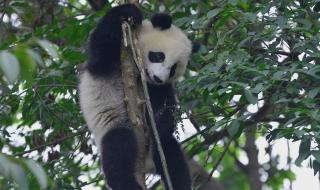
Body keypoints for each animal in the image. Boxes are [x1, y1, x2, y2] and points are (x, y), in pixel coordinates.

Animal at [79, 3, 199, 190]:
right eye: (158, 56)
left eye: (173, 69)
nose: (158, 78)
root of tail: (148, 164)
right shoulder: (110, 58)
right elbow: (102, 42)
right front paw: (129, 12)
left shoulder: (158, 89)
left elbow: (165, 110)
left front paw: (159, 123)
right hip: (113, 124)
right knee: (118, 148)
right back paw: (128, 183)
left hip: (159, 151)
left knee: (171, 154)